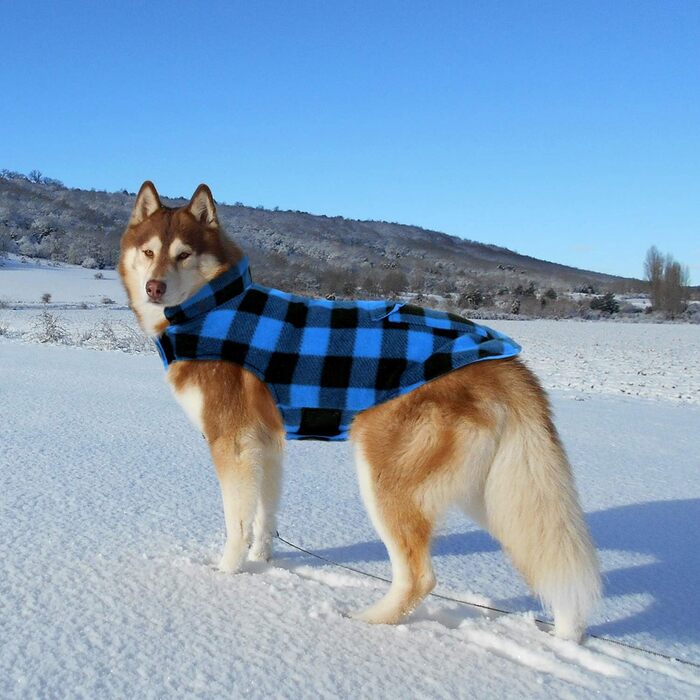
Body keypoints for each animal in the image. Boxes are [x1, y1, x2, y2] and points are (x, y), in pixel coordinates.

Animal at [120, 180, 600, 640]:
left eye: (183, 254)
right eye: (149, 252)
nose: (154, 287)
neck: (215, 306)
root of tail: (503, 361)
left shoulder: (231, 444)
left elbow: (236, 524)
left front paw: (224, 576)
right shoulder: (266, 444)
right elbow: (264, 516)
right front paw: (263, 562)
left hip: (386, 479)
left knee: (420, 576)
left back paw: (366, 622)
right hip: (495, 491)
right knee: (545, 550)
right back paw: (568, 633)